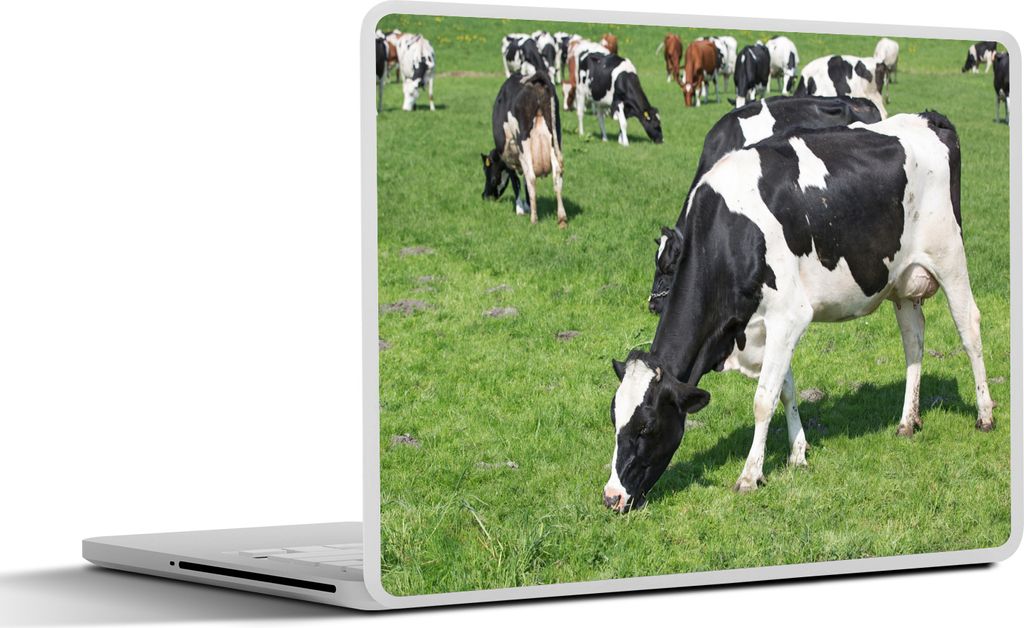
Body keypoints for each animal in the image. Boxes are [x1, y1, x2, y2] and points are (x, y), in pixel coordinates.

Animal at [481, 73, 567, 228]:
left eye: (487, 172)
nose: (485, 195)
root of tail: (537, 79)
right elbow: (524, 182)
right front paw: (527, 205)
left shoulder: (510, 157)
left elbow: (516, 182)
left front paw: (520, 209)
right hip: (555, 138)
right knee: (556, 175)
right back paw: (562, 218)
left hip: (524, 144)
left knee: (531, 177)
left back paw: (534, 219)